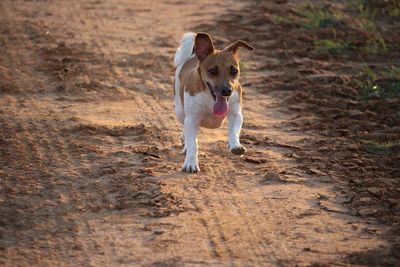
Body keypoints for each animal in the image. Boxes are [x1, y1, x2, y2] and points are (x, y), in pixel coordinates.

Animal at [172, 32, 253, 174]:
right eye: (213, 71)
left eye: (234, 71)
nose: (227, 90)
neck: (211, 99)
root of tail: (192, 56)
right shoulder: (192, 119)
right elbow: (193, 144)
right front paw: (190, 163)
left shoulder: (236, 114)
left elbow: (234, 131)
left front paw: (235, 145)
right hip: (180, 111)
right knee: (185, 128)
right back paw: (185, 142)